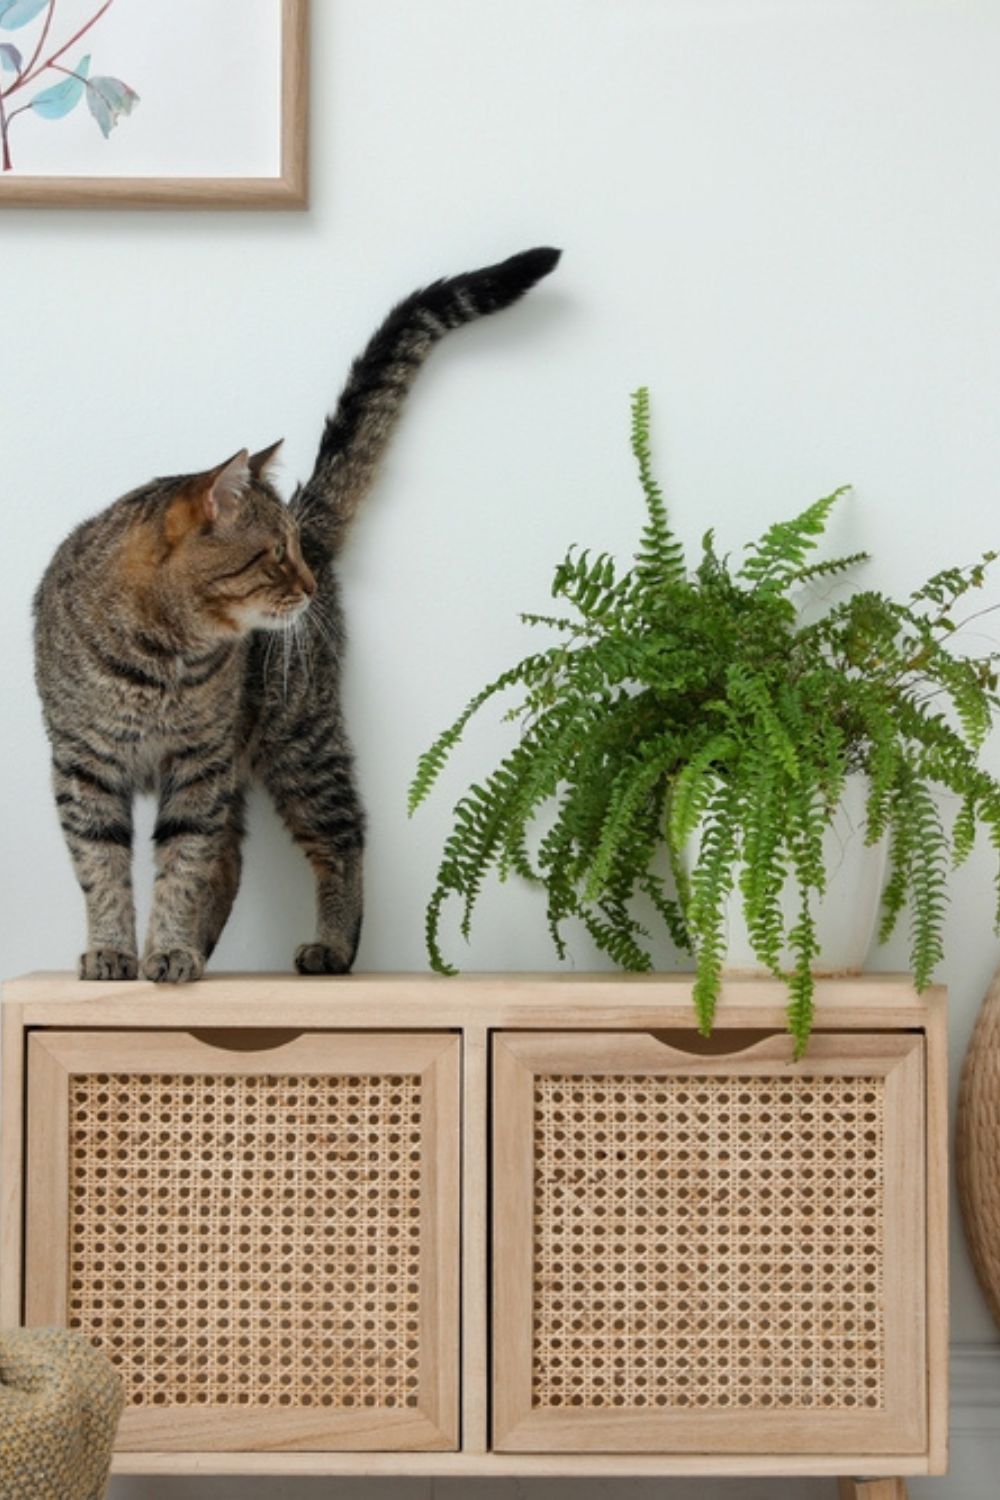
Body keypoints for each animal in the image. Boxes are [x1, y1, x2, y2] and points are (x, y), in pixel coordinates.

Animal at [33, 246, 563, 984]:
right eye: (274, 555)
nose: (306, 579)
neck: (162, 655)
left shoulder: (196, 767)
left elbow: (181, 864)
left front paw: (166, 947)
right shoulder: (84, 767)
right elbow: (103, 868)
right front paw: (115, 951)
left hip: (298, 738)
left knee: (340, 834)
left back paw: (330, 946)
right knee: (231, 858)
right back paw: (204, 950)